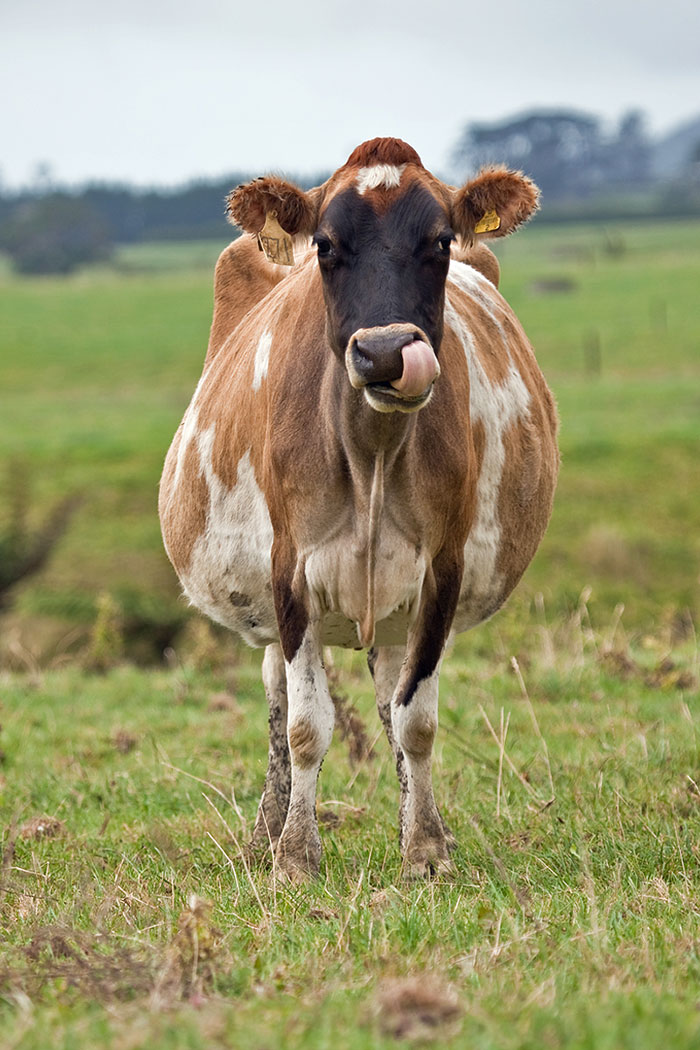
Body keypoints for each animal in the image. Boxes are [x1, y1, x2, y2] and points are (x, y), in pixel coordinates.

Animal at [159, 137, 558, 880]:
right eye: (325, 244)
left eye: (440, 240)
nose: (384, 352)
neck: (371, 451)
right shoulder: (289, 573)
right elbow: (306, 725)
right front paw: (294, 855)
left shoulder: (441, 573)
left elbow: (415, 720)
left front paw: (425, 849)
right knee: (279, 692)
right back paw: (264, 833)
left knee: (388, 698)